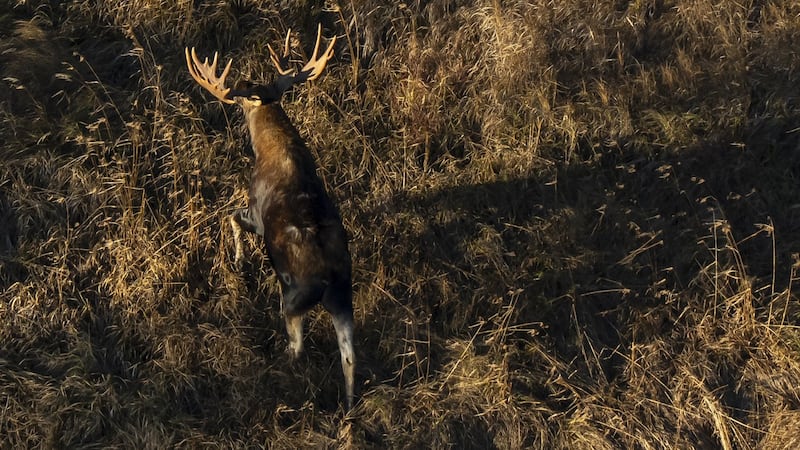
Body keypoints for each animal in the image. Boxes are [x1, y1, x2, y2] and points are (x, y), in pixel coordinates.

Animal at [185, 25, 355, 410]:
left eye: (241, 99)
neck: (273, 147)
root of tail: (327, 278)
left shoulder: (256, 213)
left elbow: (231, 217)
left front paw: (238, 260)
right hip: (344, 297)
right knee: (349, 356)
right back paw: (350, 406)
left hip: (292, 296)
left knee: (298, 344)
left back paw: (283, 373)